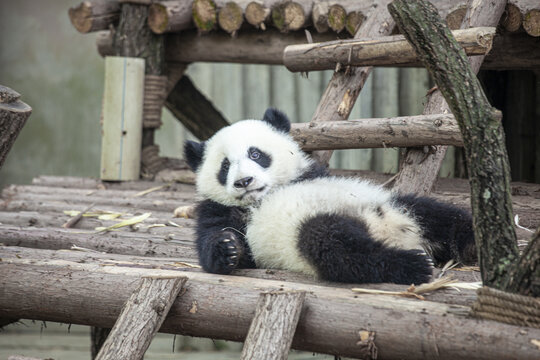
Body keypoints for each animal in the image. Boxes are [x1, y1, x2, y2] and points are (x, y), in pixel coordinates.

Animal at [184, 107, 474, 284]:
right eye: (225, 166)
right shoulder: (220, 211)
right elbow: (215, 241)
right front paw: (228, 247)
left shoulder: (312, 174)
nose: (244, 181)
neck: (264, 197)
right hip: (306, 233)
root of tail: (384, 228)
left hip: (393, 204)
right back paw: (411, 263)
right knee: (337, 247)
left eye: (255, 154)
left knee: (437, 215)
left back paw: (471, 243)